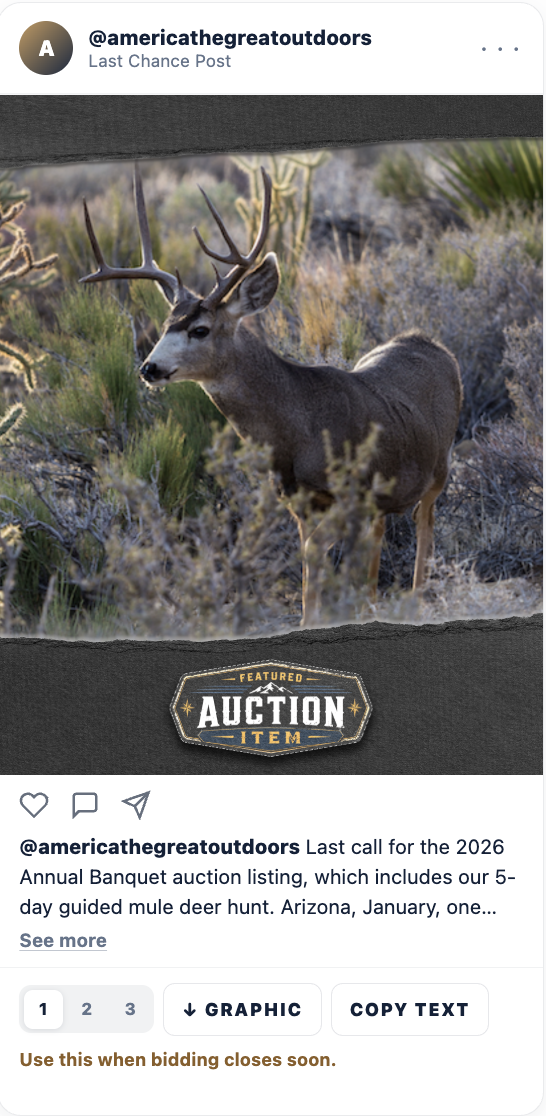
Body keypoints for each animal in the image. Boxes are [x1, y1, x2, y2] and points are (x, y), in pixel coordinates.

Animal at [80, 165, 463, 626]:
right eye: (167, 323)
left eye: (200, 329)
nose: (148, 368)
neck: (296, 430)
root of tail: (431, 343)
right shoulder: (298, 500)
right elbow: (308, 563)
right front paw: (308, 617)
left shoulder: (346, 493)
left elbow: (315, 557)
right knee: (380, 533)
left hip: (439, 467)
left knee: (425, 523)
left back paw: (417, 597)